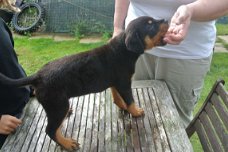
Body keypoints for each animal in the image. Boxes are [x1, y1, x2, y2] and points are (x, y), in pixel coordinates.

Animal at [0, 16, 168, 151]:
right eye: (150, 24)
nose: (166, 20)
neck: (124, 50)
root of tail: (38, 76)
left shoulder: (115, 82)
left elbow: (117, 97)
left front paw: (123, 106)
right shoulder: (124, 83)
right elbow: (130, 99)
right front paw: (136, 111)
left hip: (57, 105)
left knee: (55, 127)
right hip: (57, 104)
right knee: (50, 130)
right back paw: (67, 144)